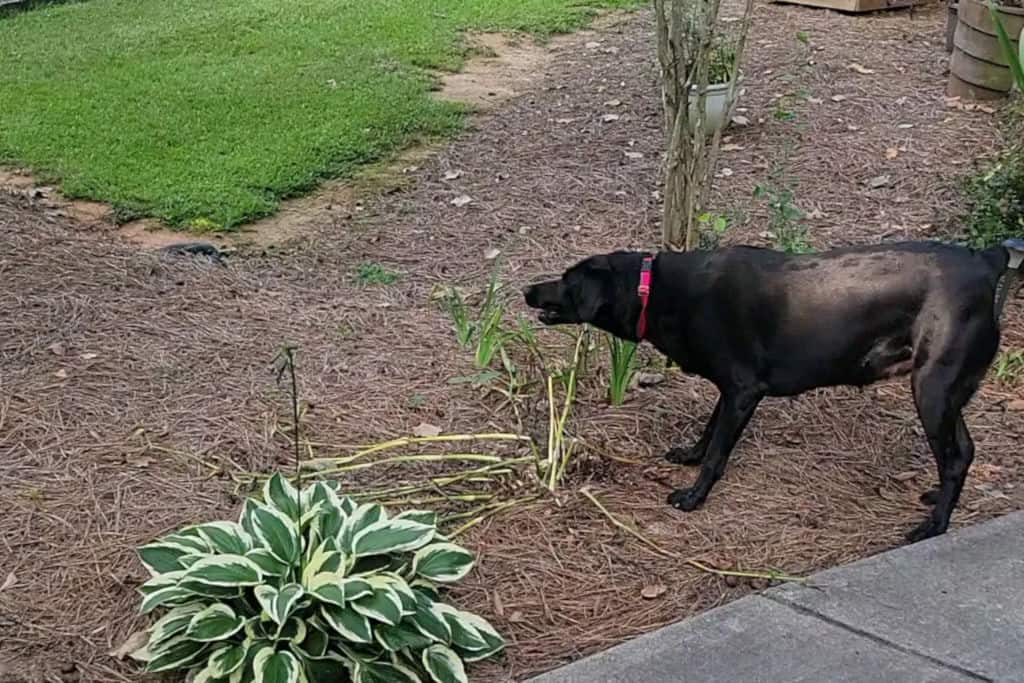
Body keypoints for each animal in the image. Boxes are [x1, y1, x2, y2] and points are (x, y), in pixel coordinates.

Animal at [528, 241, 1024, 544]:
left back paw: (934, 524)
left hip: (933, 386)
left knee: (955, 456)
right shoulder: (731, 389)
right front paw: (689, 454)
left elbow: (718, 451)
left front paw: (693, 496)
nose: (528, 289)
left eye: (567, 279)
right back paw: (935, 498)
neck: (657, 290)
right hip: (947, 390)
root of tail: (986, 260)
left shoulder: (744, 390)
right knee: (963, 450)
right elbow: (709, 430)